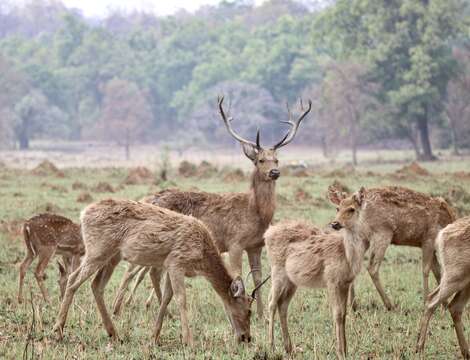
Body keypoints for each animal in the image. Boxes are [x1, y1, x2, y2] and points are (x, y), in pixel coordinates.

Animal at [53, 200, 266, 346]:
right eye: (248, 310)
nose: (246, 337)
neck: (203, 253)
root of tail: (83, 214)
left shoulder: (169, 266)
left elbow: (166, 298)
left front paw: (154, 337)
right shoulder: (176, 263)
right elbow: (181, 299)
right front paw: (188, 340)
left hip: (112, 256)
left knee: (96, 285)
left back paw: (114, 333)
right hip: (97, 251)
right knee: (73, 280)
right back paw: (58, 330)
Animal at [112, 96, 312, 318]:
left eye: (276, 159)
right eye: (260, 160)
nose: (275, 172)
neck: (256, 213)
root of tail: (148, 199)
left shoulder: (256, 246)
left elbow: (258, 278)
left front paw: (261, 314)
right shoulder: (235, 242)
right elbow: (238, 275)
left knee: (145, 271)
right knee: (132, 269)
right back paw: (118, 309)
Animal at [264, 202, 368, 358]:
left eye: (352, 209)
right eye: (338, 208)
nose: (335, 223)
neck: (346, 253)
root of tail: (268, 233)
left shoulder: (345, 284)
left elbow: (344, 314)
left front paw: (345, 350)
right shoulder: (332, 282)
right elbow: (337, 314)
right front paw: (340, 352)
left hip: (292, 282)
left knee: (282, 305)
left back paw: (289, 348)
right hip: (278, 273)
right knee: (271, 303)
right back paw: (271, 346)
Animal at [326, 186, 456, 310]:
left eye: (351, 209)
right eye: (337, 208)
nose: (335, 223)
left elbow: (438, 272)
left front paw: (444, 305)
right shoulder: (428, 239)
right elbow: (426, 270)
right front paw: (428, 301)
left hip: (360, 238)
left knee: (354, 265)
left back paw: (354, 305)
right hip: (383, 233)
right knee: (372, 268)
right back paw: (390, 305)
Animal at [414, 215, 470, 358]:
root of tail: (442, 234)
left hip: (464, 283)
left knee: (455, 307)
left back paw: (466, 352)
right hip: (455, 277)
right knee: (431, 300)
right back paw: (419, 348)